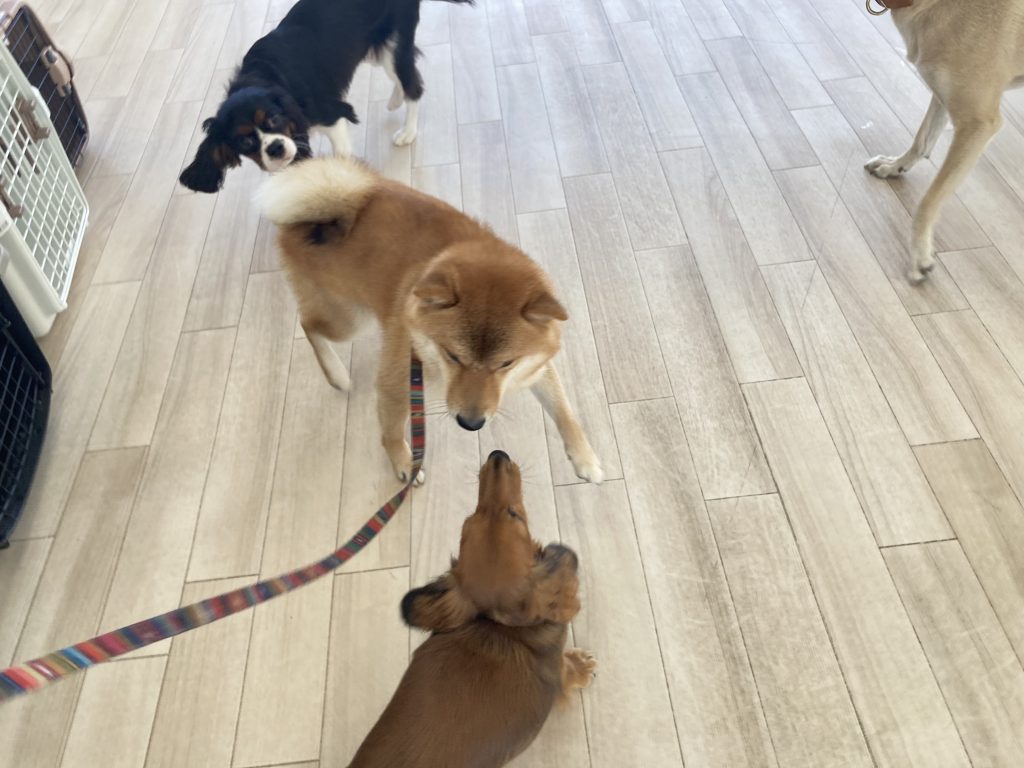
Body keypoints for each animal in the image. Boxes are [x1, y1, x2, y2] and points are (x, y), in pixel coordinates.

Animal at [178, 0, 474, 193]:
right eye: (245, 141)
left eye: (273, 119)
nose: (275, 148)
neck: (262, 75)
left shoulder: (331, 115)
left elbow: (341, 153)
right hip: (375, 47)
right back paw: (394, 99)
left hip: (394, 42)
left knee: (413, 85)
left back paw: (407, 132)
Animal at [257, 155, 604, 485]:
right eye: (453, 356)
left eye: (506, 364)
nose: (471, 424)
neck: (432, 360)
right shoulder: (395, 384)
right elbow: (392, 433)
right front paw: (403, 465)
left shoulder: (535, 367)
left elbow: (565, 411)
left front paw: (585, 458)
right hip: (350, 320)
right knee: (309, 325)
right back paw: (336, 374)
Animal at [347, 450, 596, 767]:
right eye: (514, 515)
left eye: (469, 518)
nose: (497, 456)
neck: (504, 629)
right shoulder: (558, 670)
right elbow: (569, 671)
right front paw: (582, 666)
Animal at [864, 0, 1024, 282]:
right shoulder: (941, 89)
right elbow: (922, 139)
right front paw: (895, 165)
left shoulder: (978, 124)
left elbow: (930, 199)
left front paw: (920, 254)